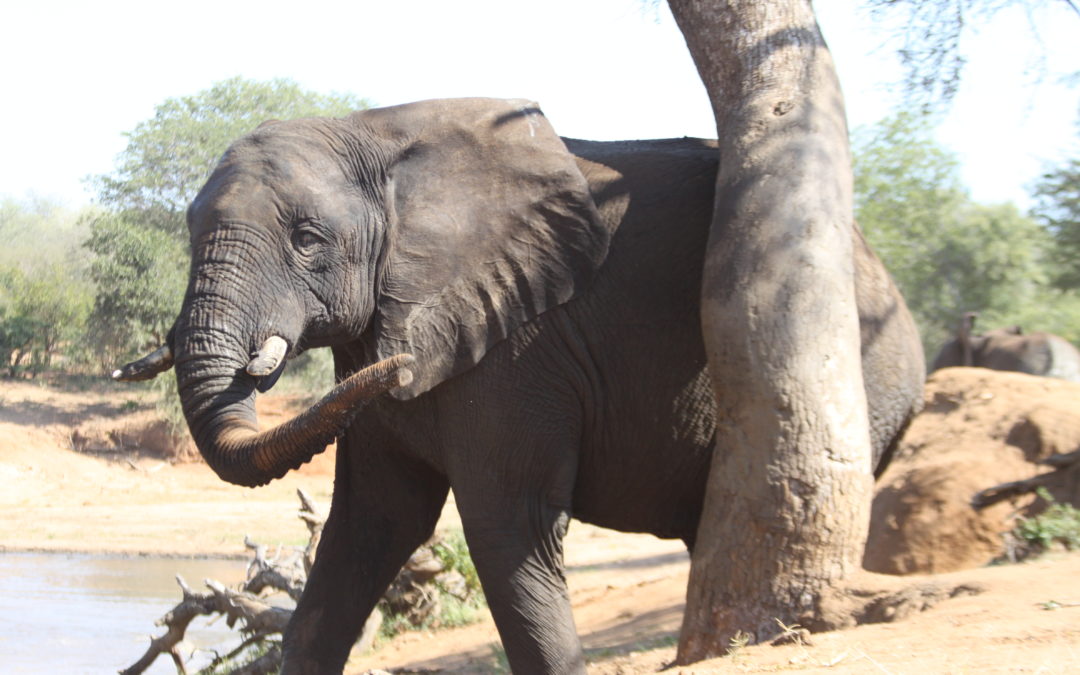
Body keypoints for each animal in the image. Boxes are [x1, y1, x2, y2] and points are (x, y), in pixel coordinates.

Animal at [116, 98, 925, 674]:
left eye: (307, 239)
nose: (398, 370)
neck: (376, 133)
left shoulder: (521, 347)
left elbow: (509, 528)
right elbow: (371, 526)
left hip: (861, 371)